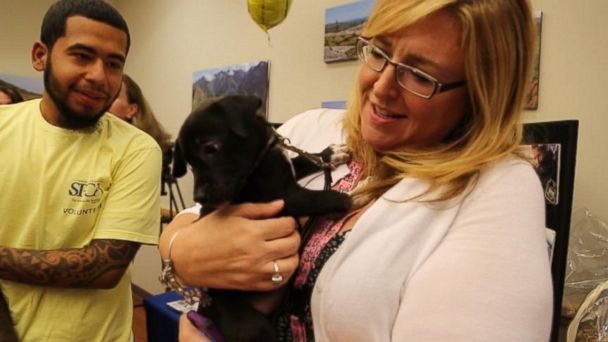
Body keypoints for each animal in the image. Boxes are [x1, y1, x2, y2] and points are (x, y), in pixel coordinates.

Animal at [171, 94, 352, 342]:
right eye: (189, 164)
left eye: (210, 148)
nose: (200, 197)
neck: (261, 156)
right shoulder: (283, 196)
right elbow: (314, 197)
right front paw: (344, 199)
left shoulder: (287, 171)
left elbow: (304, 160)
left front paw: (329, 154)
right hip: (255, 328)